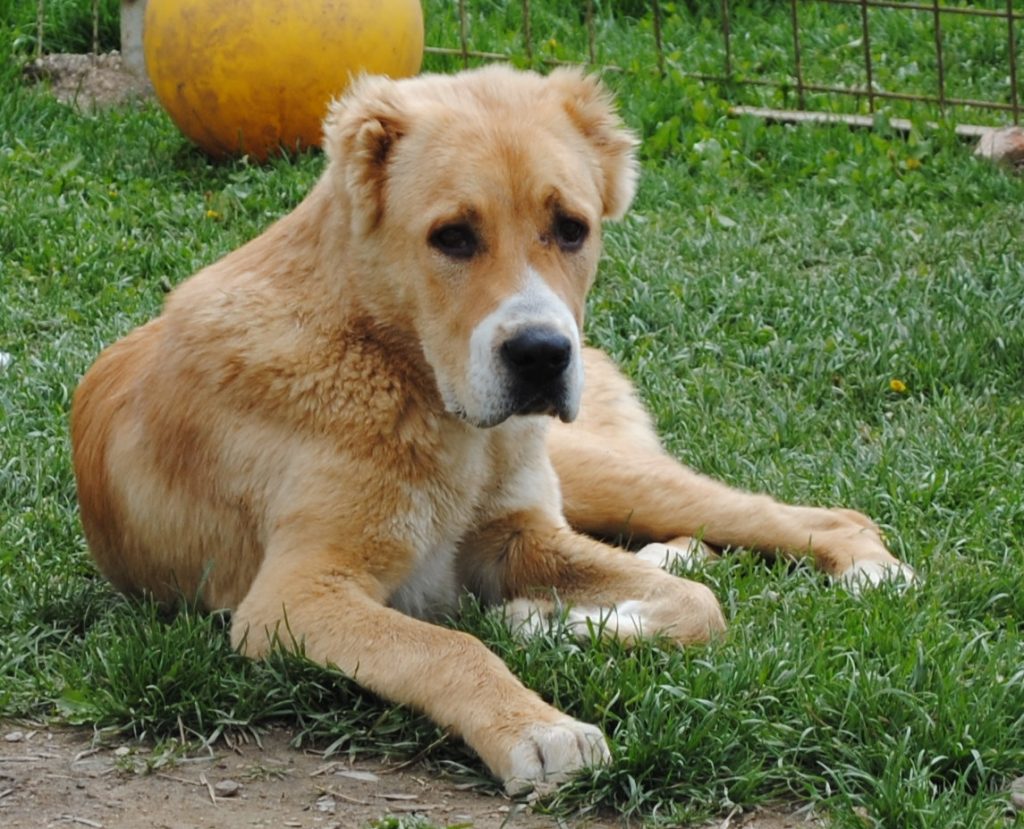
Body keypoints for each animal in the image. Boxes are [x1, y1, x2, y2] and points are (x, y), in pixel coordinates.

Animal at [70, 68, 913, 790]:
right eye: (452, 235)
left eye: (571, 228)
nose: (542, 354)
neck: (410, 381)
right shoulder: (291, 596)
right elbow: (451, 644)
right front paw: (539, 721)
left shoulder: (517, 533)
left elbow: (700, 607)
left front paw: (553, 623)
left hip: (607, 476)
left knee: (811, 515)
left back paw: (871, 568)